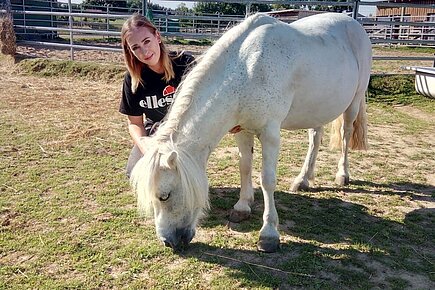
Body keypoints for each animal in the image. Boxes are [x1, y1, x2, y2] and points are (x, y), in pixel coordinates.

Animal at [131, 12, 372, 253]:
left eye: (164, 196)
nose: (168, 241)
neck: (248, 68)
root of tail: (353, 23)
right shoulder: (242, 130)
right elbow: (244, 167)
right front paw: (242, 206)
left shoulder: (270, 134)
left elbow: (267, 180)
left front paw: (269, 233)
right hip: (316, 109)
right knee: (315, 138)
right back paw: (303, 179)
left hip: (353, 103)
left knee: (346, 134)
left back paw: (342, 175)